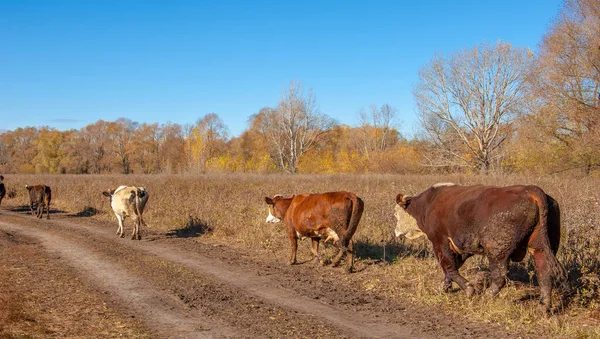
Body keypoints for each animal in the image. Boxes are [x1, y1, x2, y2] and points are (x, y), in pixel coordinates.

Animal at [396, 185, 564, 312]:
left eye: (396, 215)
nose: (396, 232)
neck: (427, 204)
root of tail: (531, 190)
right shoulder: (461, 248)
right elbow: (451, 267)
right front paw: (445, 287)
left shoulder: (439, 241)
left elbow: (448, 266)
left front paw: (468, 289)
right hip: (540, 247)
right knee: (544, 273)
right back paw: (543, 306)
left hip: (496, 250)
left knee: (500, 275)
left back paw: (487, 296)